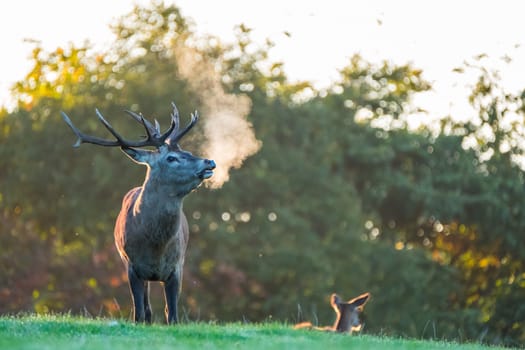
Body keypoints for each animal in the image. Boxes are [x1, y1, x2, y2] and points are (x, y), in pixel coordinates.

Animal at [62, 102, 215, 324]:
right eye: (171, 158)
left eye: (187, 151)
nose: (209, 162)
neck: (155, 245)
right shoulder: (132, 266)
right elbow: (139, 312)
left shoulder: (177, 266)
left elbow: (172, 314)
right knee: (147, 308)